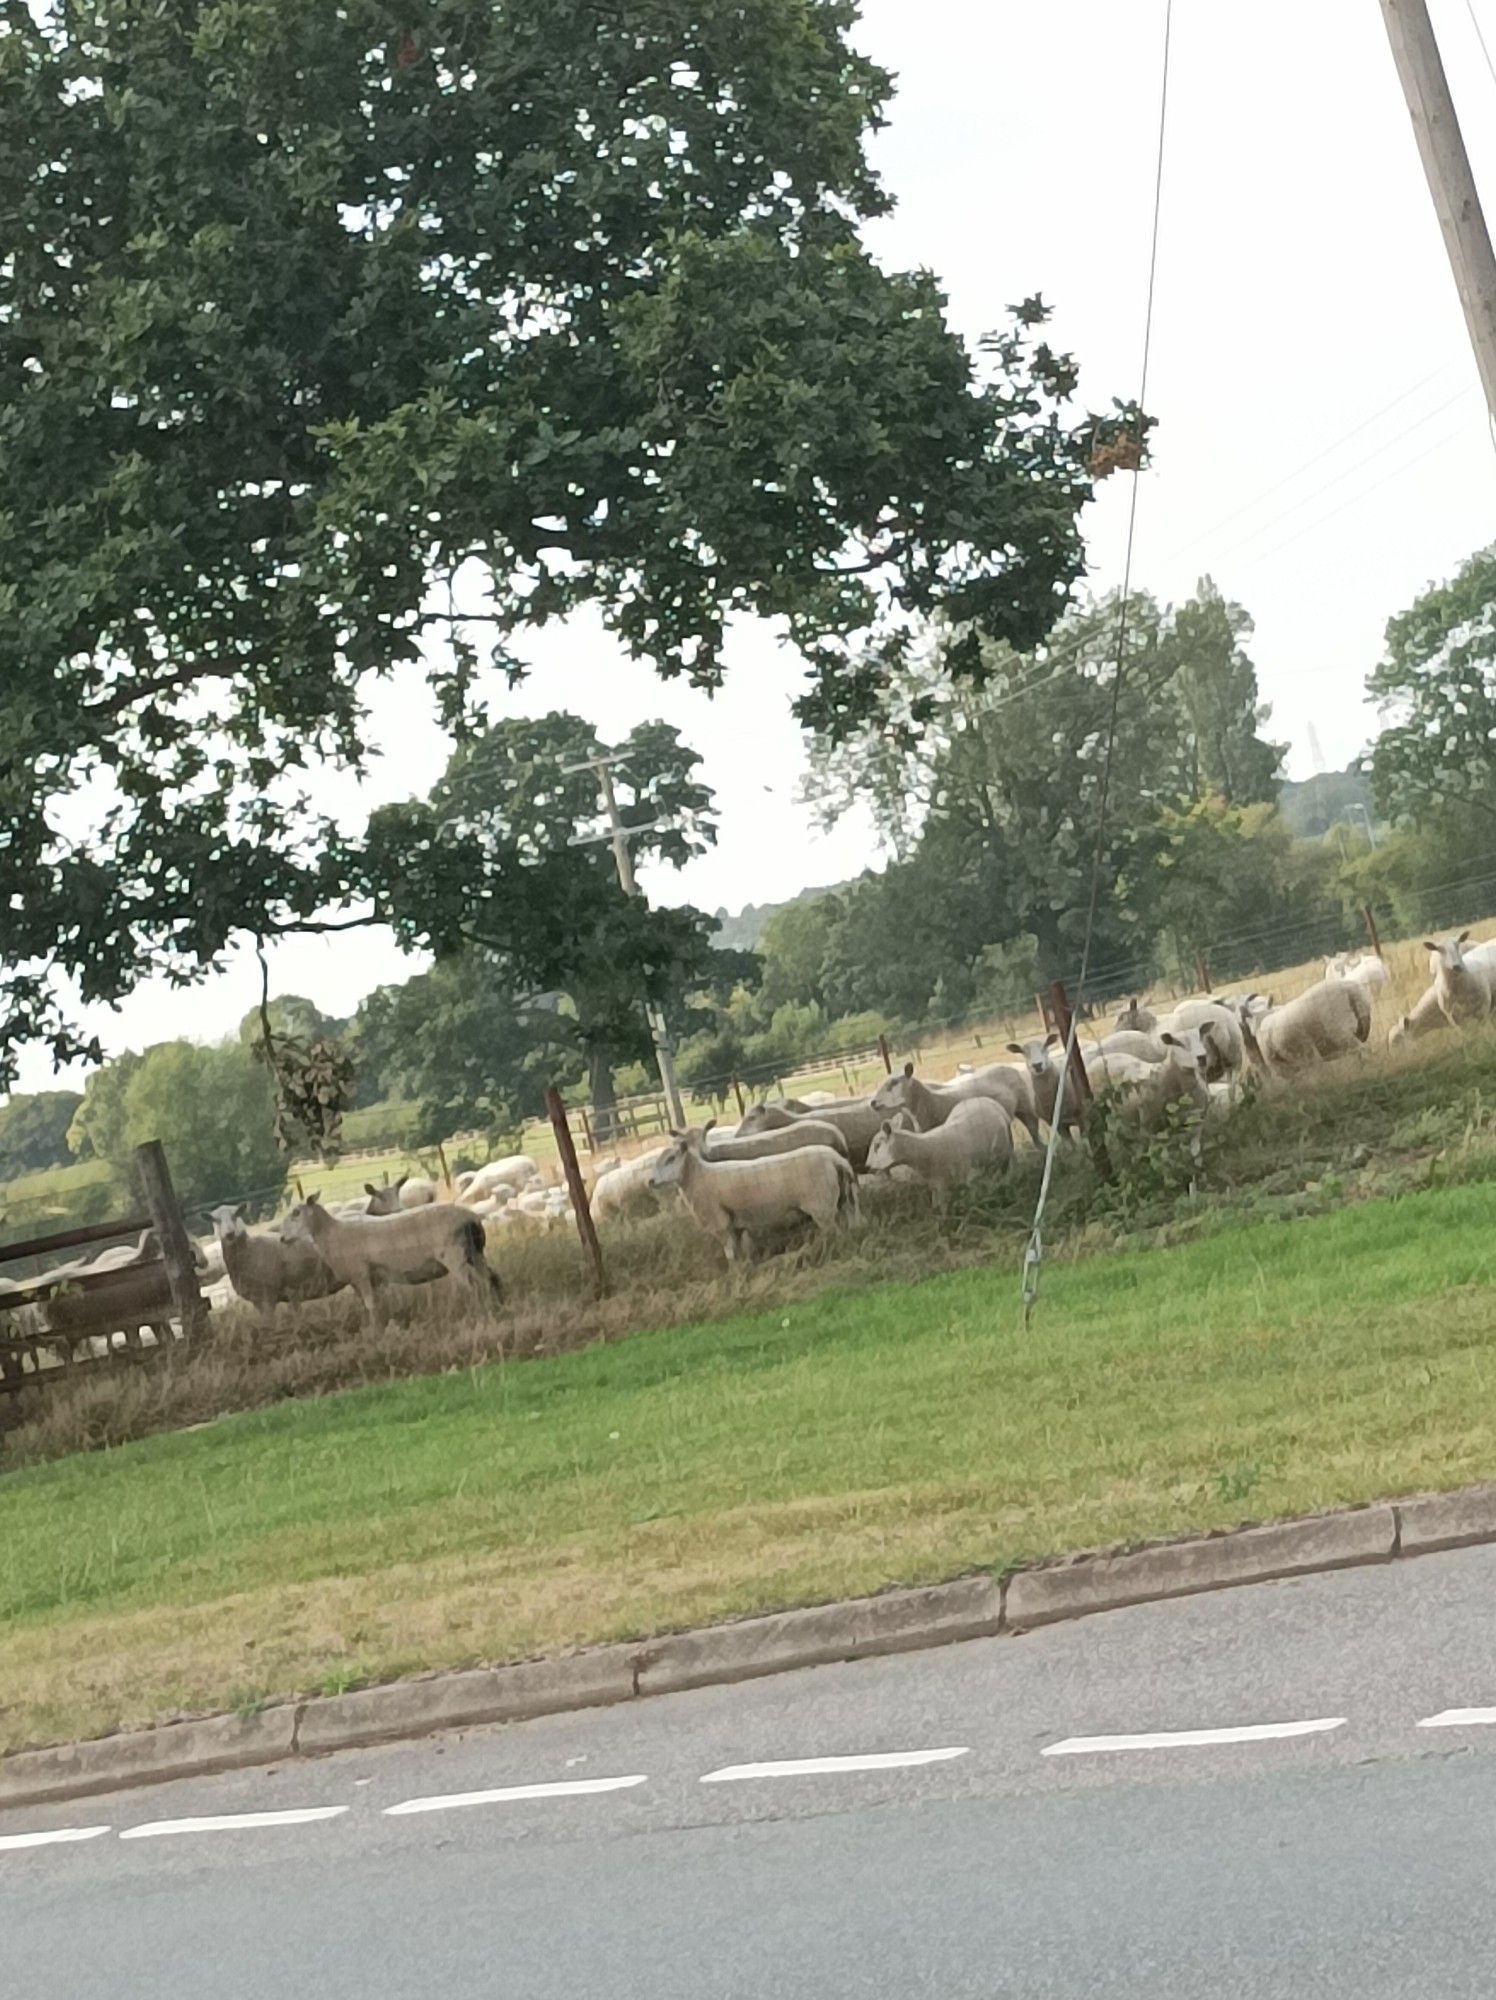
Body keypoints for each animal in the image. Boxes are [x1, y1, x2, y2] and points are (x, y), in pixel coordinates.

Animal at [280, 1184, 508, 1328]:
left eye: (296, 1212)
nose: (282, 1238)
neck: (331, 1233)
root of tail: (472, 1219)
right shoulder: (368, 1278)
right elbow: (375, 1305)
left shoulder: (361, 1274)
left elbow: (371, 1305)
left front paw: (376, 1334)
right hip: (475, 1253)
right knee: (490, 1278)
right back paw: (498, 1309)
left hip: (454, 1256)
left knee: (473, 1286)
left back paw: (482, 1318)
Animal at [652, 1128, 860, 1264]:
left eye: (671, 1159)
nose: (650, 1181)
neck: (698, 1177)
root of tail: (835, 1159)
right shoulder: (734, 1224)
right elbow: (738, 1253)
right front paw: (745, 1270)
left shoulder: (719, 1223)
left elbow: (730, 1254)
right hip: (842, 1197)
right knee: (849, 1220)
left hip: (822, 1206)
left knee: (835, 1233)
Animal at [860, 1096, 1012, 1184]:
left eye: (877, 1145)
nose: (867, 1167)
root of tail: (988, 1100)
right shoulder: (938, 1184)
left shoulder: (967, 1176)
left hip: (1001, 1156)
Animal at [1232, 980, 1376, 1088]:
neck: (1262, 1020)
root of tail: (1349, 989)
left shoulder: (1279, 1064)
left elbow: (1297, 1082)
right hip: (1362, 1027)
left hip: (1340, 1033)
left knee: (1363, 1051)